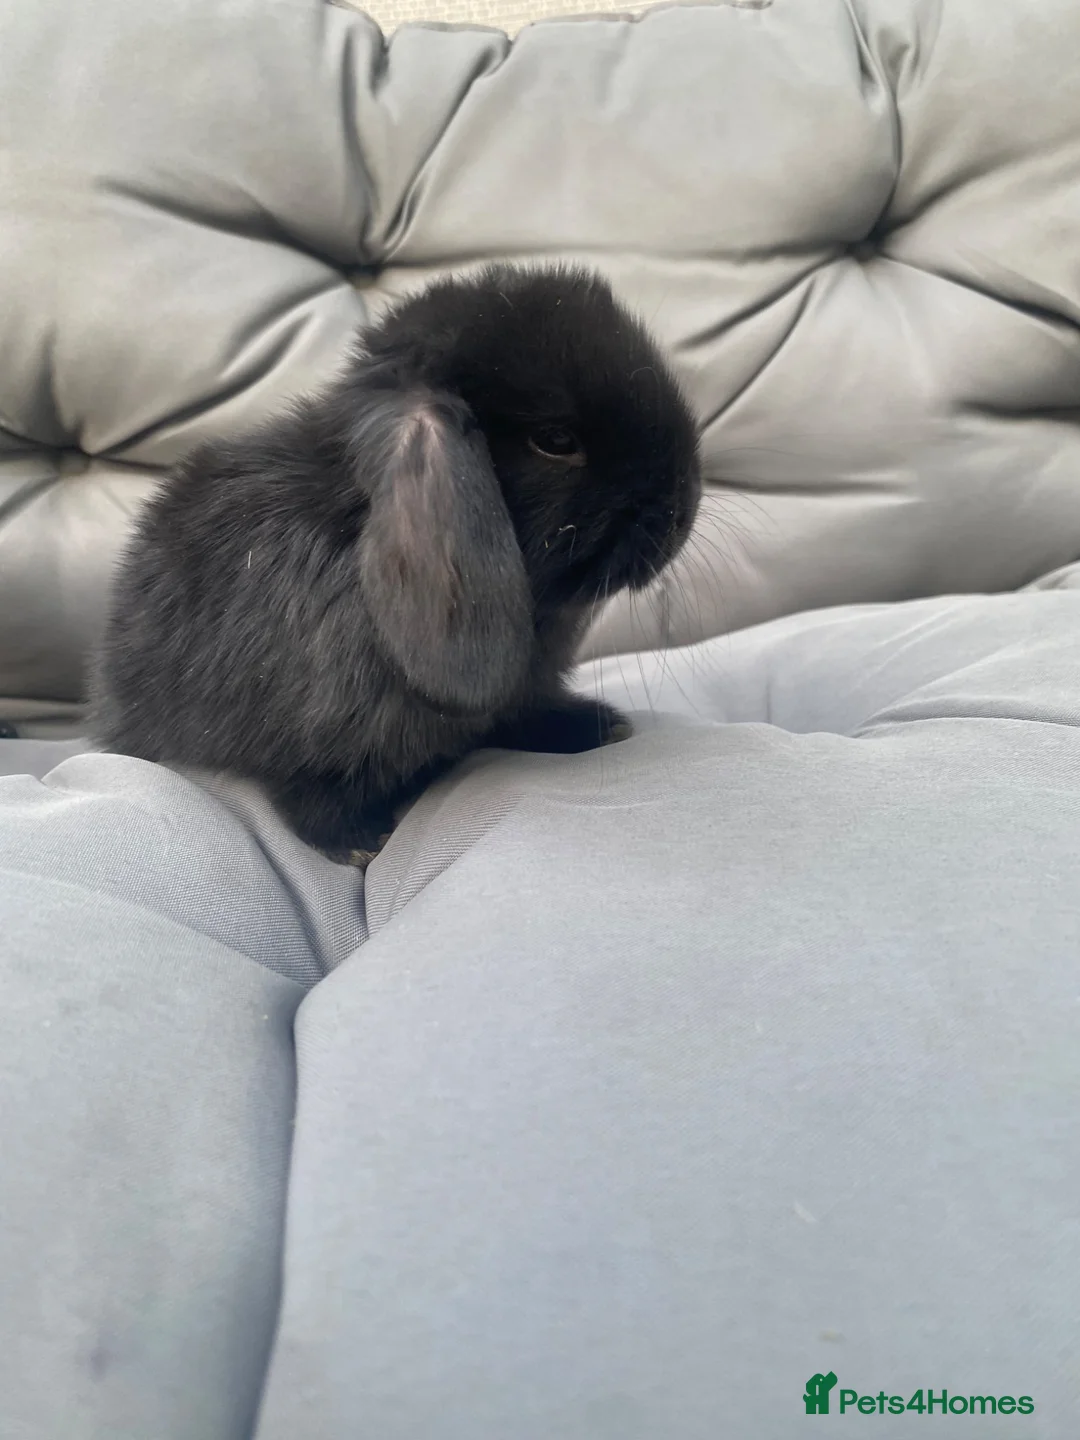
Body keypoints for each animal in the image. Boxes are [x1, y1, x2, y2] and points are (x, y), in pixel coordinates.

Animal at [91, 264, 701, 860]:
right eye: (555, 439)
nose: (681, 511)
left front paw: (595, 726)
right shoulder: (306, 742)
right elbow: (309, 791)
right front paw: (361, 843)